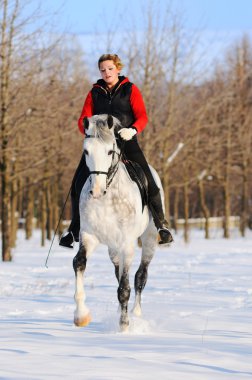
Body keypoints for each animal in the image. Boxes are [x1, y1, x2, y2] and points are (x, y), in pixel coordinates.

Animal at [72, 114, 165, 332]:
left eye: (109, 151)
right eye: (86, 151)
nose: (97, 191)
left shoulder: (127, 244)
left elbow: (125, 288)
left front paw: (124, 326)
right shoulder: (89, 236)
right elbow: (79, 263)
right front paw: (81, 316)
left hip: (149, 240)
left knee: (140, 276)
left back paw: (136, 314)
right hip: (112, 248)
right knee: (119, 272)